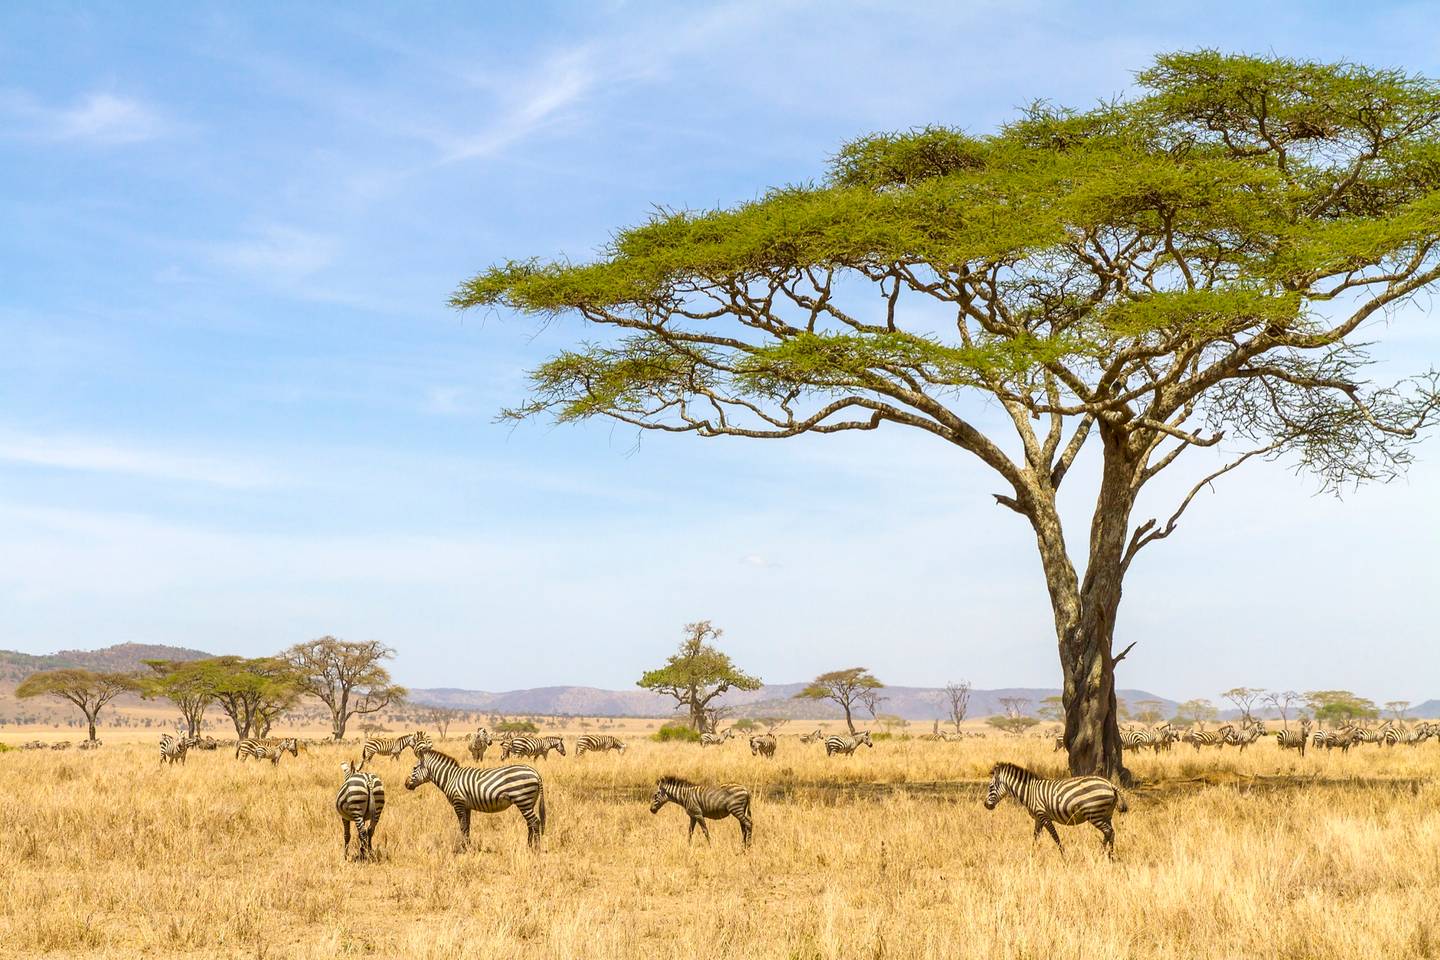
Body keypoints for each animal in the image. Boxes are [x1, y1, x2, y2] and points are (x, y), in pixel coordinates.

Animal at [404, 746, 545, 850]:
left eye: (414, 768)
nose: (406, 784)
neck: (450, 778)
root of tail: (535, 772)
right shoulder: (467, 806)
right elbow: (467, 826)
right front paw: (468, 846)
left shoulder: (458, 803)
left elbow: (462, 825)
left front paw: (464, 848)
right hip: (529, 802)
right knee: (530, 823)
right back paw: (528, 846)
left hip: (523, 800)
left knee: (534, 822)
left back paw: (536, 849)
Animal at [982, 761, 1127, 860]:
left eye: (990, 787)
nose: (985, 805)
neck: (1029, 792)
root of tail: (1110, 784)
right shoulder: (1038, 819)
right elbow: (1035, 837)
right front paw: (1032, 854)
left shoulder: (1043, 815)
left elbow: (1055, 836)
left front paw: (1064, 856)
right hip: (1106, 814)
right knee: (1111, 832)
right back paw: (1110, 856)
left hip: (1094, 814)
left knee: (1108, 831)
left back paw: (1102, 854)